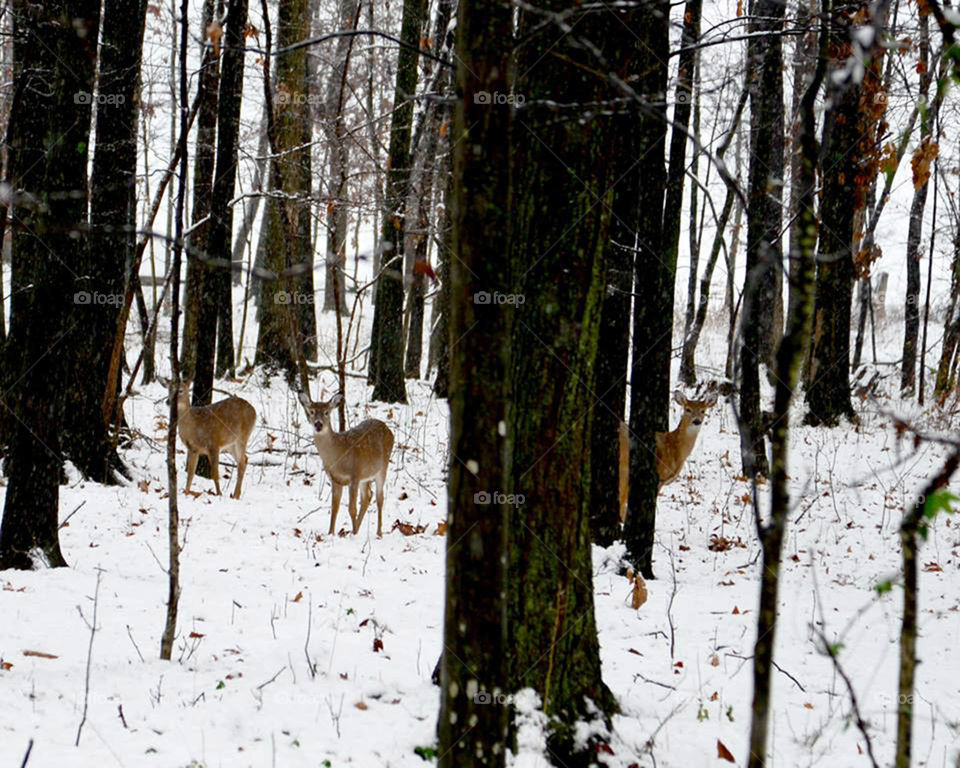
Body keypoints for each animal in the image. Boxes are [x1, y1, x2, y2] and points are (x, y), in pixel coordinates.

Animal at [297, 389, 395, 537]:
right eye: (312, 411)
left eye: (327, 412)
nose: (318, 424)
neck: (338, 457)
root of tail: (388, 428)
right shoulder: (335, 479)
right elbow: (335, 507)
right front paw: (331, 533)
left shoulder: (354, 475)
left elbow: (351, 508)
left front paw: (352, 535)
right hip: (365, 475)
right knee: (367, 496)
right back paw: (357, 529)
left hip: (382, 468)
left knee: (380, 498)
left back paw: (377, 532)